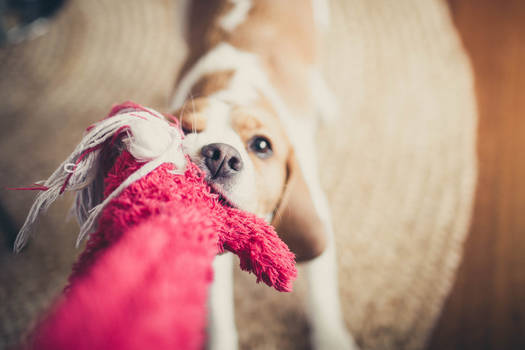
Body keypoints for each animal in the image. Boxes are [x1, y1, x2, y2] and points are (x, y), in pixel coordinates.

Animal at [170, 0, 358, 350]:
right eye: (183, 130)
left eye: (261, 145)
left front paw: (331, 338)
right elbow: (218, 313)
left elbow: (323, 298)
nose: (221, 156)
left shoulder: (315, 214)